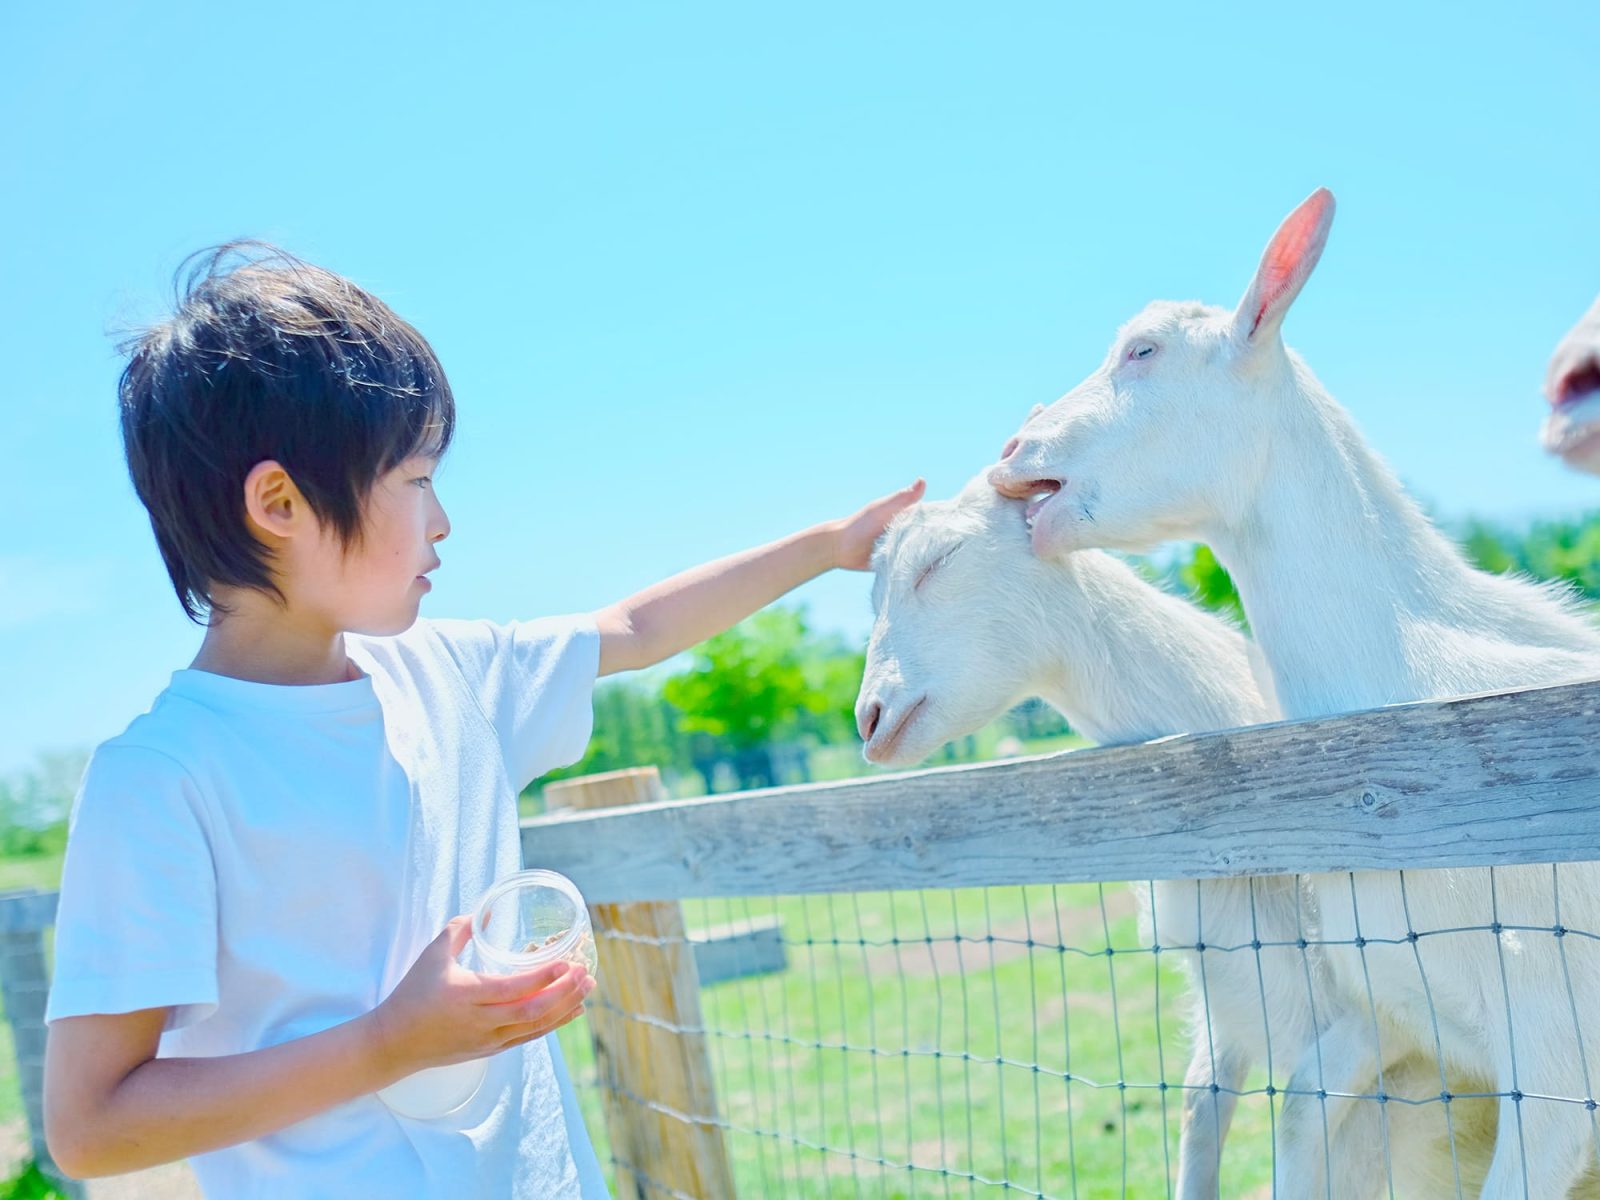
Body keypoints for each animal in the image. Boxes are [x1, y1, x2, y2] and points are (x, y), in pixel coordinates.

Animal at [857, 476, 1491, 1196]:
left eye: (942, 559)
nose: (868, 719)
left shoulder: (1400, 1029)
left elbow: (1299, 1120)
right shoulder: (1233, 1007)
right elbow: (1198, 1108)